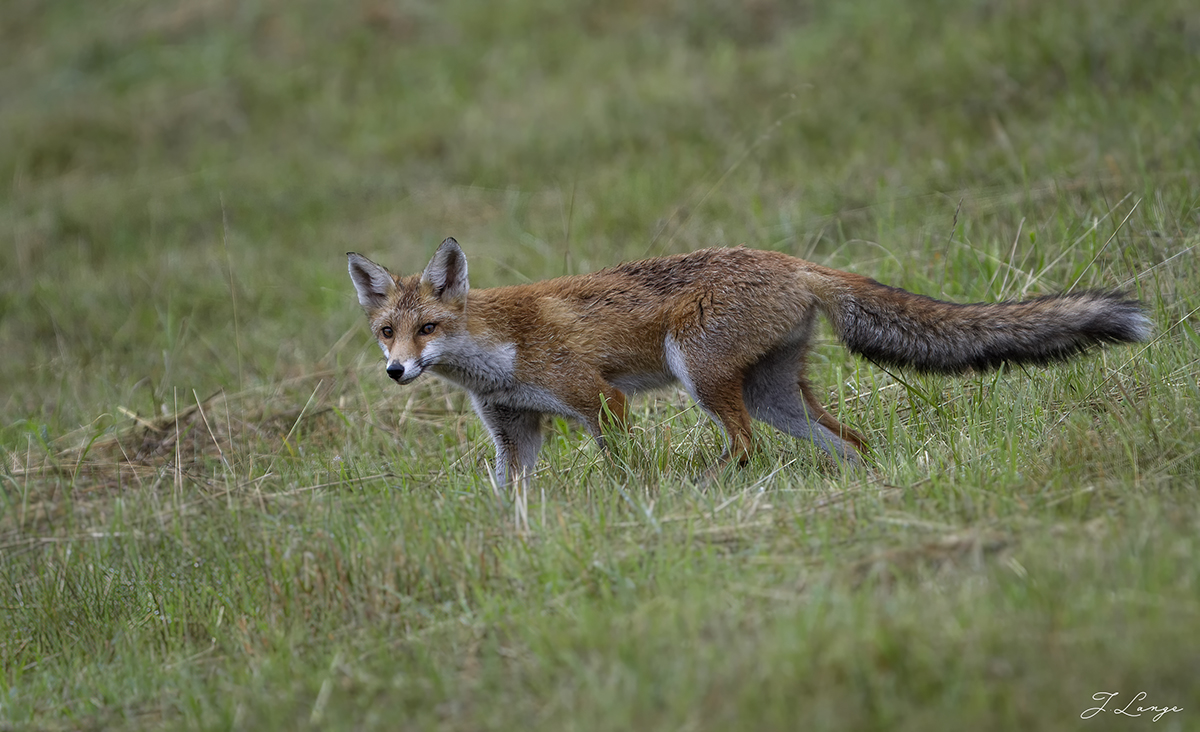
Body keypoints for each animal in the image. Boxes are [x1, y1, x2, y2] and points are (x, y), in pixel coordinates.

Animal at [350, 236, 1152, 482]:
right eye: (387, 333)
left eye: (428, 327)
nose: (396, 372)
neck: (495, 353)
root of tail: (793, 260)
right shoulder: (515, 432)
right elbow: (510, 502)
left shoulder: (597, 399)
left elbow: (621, 467)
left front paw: (632, 501)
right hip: (774, 396)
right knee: (850, 440)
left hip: (700, 375)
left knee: (744, 447)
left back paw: (706, 484)